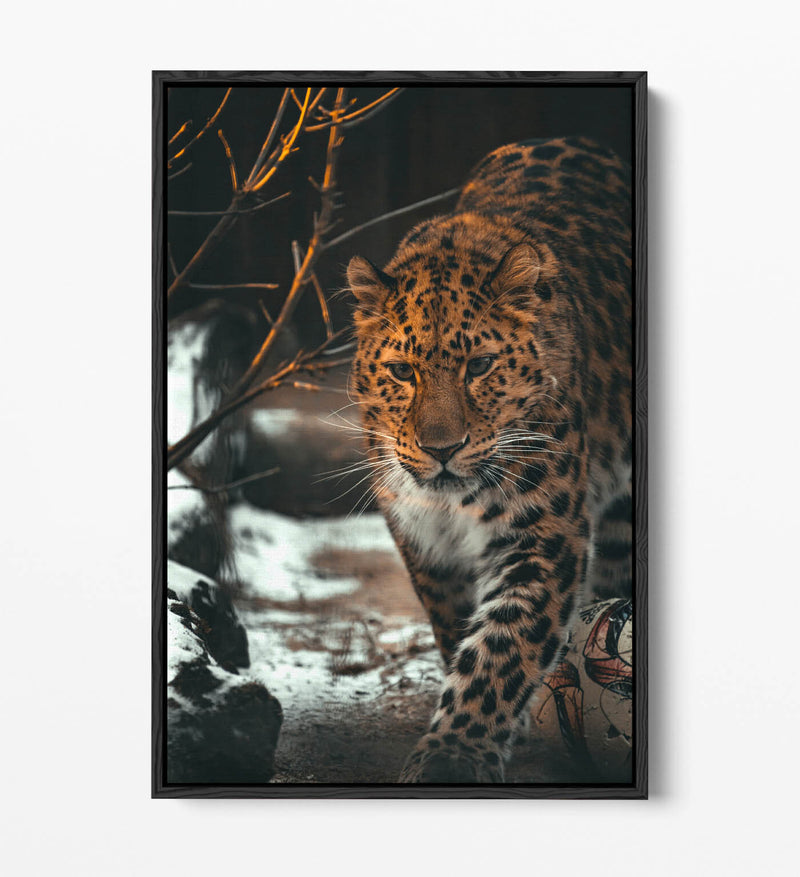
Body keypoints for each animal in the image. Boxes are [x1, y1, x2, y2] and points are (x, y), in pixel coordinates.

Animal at [346, 136, 632, 783]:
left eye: (479, 366)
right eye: (402, 371)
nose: (440, 449)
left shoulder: (543, 534)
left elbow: (503, 647)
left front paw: (454, 754)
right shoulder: (422, 538)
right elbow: (459, 628)